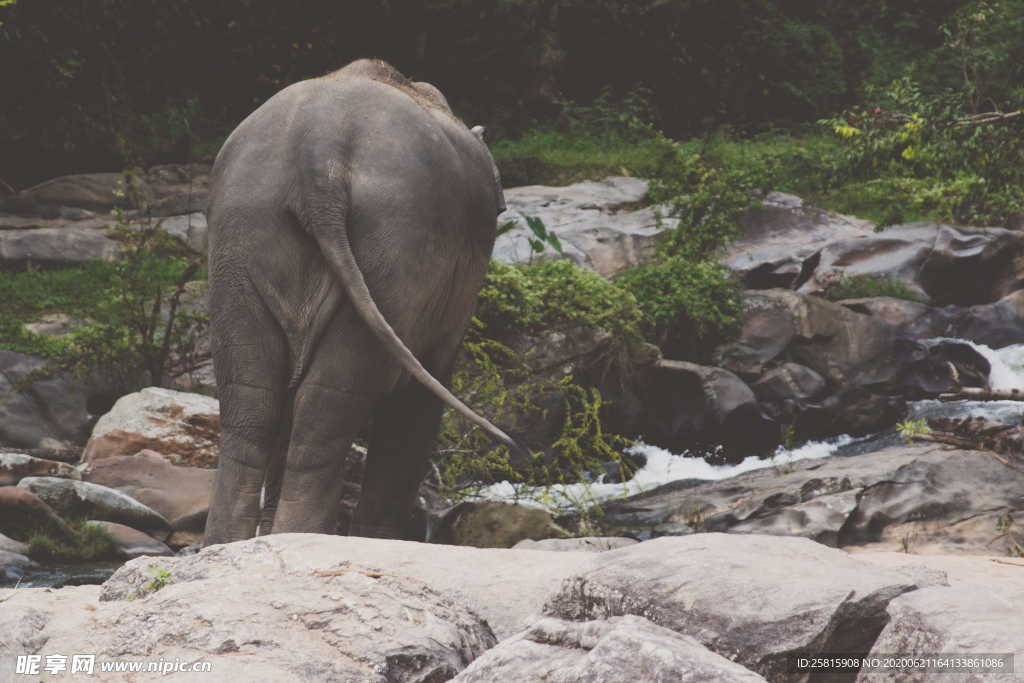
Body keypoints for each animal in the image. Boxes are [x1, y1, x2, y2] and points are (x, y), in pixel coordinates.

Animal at [204, 61, 520, 548]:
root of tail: (318, 153)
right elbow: (418, 399)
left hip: (241, 237)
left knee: (253, 403)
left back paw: (233, 543)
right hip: (393, 250)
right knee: (330, 407)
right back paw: (310, 539)